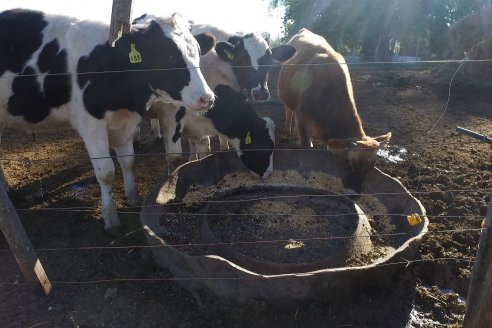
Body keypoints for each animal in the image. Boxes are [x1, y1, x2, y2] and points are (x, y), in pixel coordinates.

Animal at [0, 9, 215, 234]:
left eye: (198, 52)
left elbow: (128, 161)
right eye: (168, 55)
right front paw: (110, 218)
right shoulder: (90, 125)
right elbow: (106, 172)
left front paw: (133, 198)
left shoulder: (126, 122)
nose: (207, 98)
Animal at [278, 28, 390, 192]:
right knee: (288, 112)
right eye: (349, 164)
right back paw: (287, 133)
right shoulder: (302, 119)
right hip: (288, 99)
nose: (354, 194)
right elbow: (306, 146)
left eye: (370, 168)